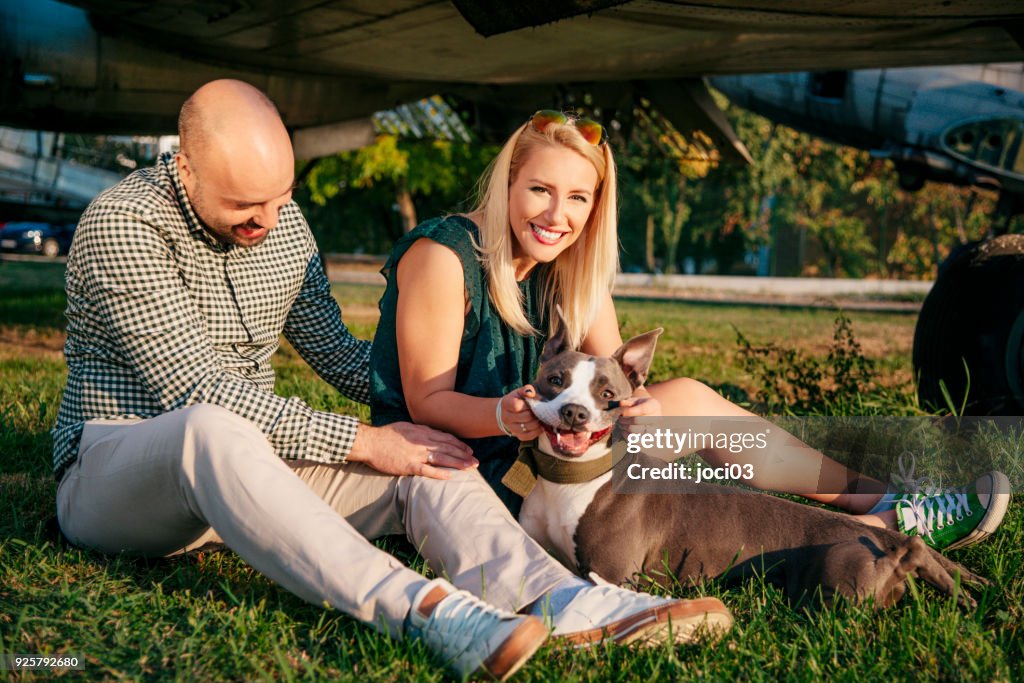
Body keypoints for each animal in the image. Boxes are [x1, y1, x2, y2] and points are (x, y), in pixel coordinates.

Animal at [507, 313, 987, 606]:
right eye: (555, 380)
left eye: (608, 394)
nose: (575, 412)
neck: (571, 479)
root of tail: (891, 543)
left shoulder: (612, 576)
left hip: (837, 586)